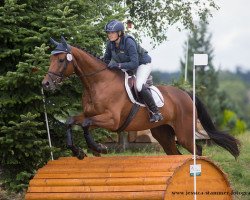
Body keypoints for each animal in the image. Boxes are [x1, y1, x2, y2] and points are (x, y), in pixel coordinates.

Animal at [42, 36, 239, 159]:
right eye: (51, 59)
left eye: (61, 60)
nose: (46, 84)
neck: (97, 83)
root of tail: (185, 94)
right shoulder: (91, 114)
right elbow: (71, 121)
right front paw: (78, 152)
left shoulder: (112, 120)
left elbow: (85, 124)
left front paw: (99, 148)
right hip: (163, 134)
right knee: (175, 154)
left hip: (184, 133)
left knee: (197, 149)